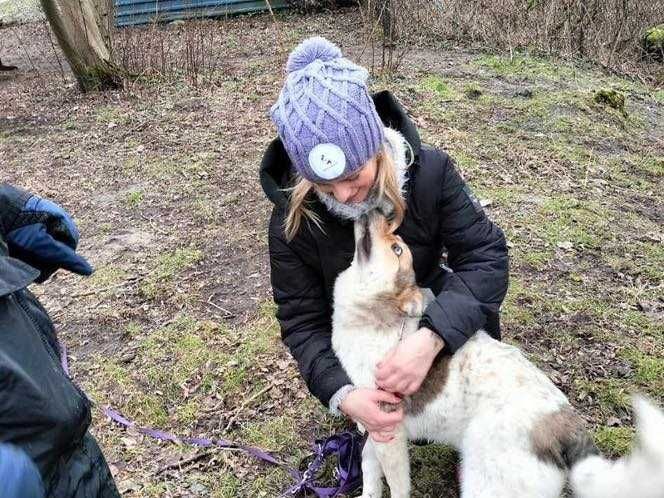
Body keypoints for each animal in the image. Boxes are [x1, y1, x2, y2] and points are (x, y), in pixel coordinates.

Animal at [332, 210, 664, 498]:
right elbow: (368, 462)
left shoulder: (390, 431)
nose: (375, 210)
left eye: (397, 248)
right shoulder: (375, 425)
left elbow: (397, 483)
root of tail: (565, 424)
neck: (380, 317)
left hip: (488, 482)